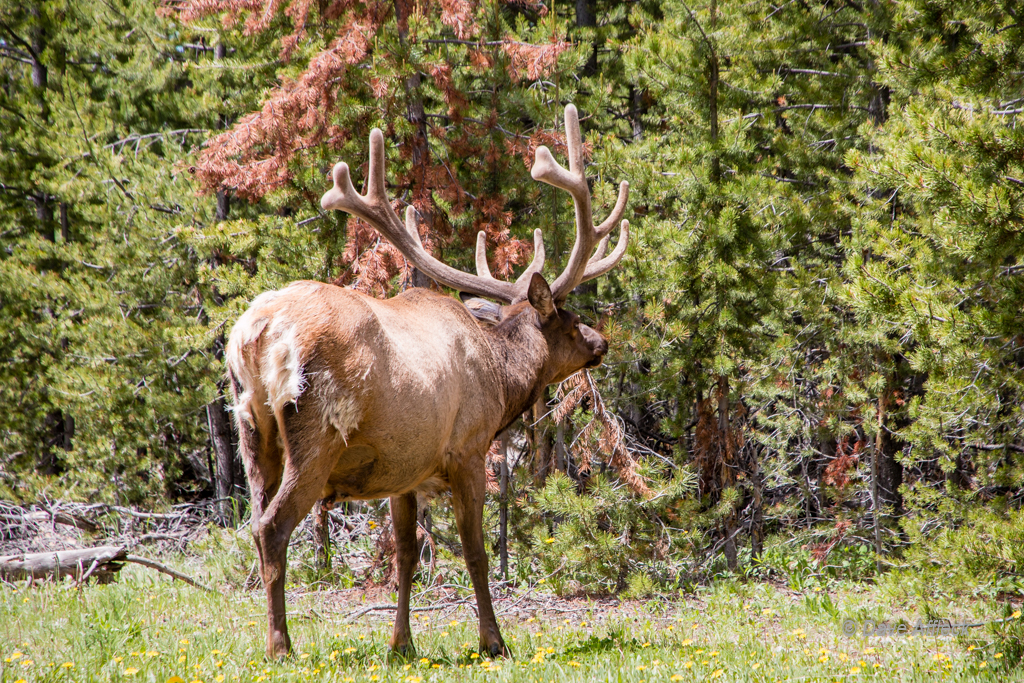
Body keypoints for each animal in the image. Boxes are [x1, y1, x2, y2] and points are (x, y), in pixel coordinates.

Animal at [224, 104, 626, 659]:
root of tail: (255, 334)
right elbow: (476, 552)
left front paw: (402, 644)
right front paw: (493, 641)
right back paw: (280, 646)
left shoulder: (402, 468)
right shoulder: (466, 448)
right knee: (272, 527)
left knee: (255, 522)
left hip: (252, 431)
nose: (600, 341)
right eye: (569, 318)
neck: (502, 380)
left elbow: (407, 555)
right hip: (315, 432)